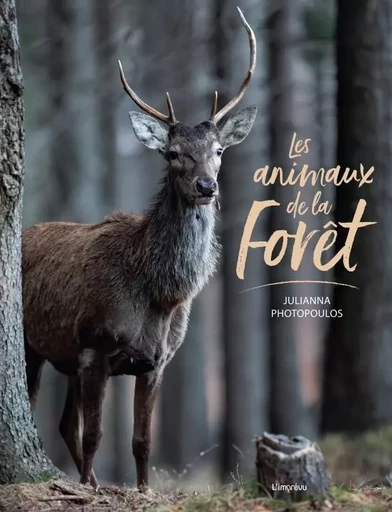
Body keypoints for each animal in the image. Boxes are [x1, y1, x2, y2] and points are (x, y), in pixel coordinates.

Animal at [23, 7, 258, 488]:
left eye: (219, 149)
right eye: (172, 153)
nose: (206, 186)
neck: (159, 295)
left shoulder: (157, 361)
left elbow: (141, 441)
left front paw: (142, 490)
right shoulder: (94, 345)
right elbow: (96, 434)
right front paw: (88, 492)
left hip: (65, 359)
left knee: (63, 423)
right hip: (34, 345)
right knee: (47, 413)